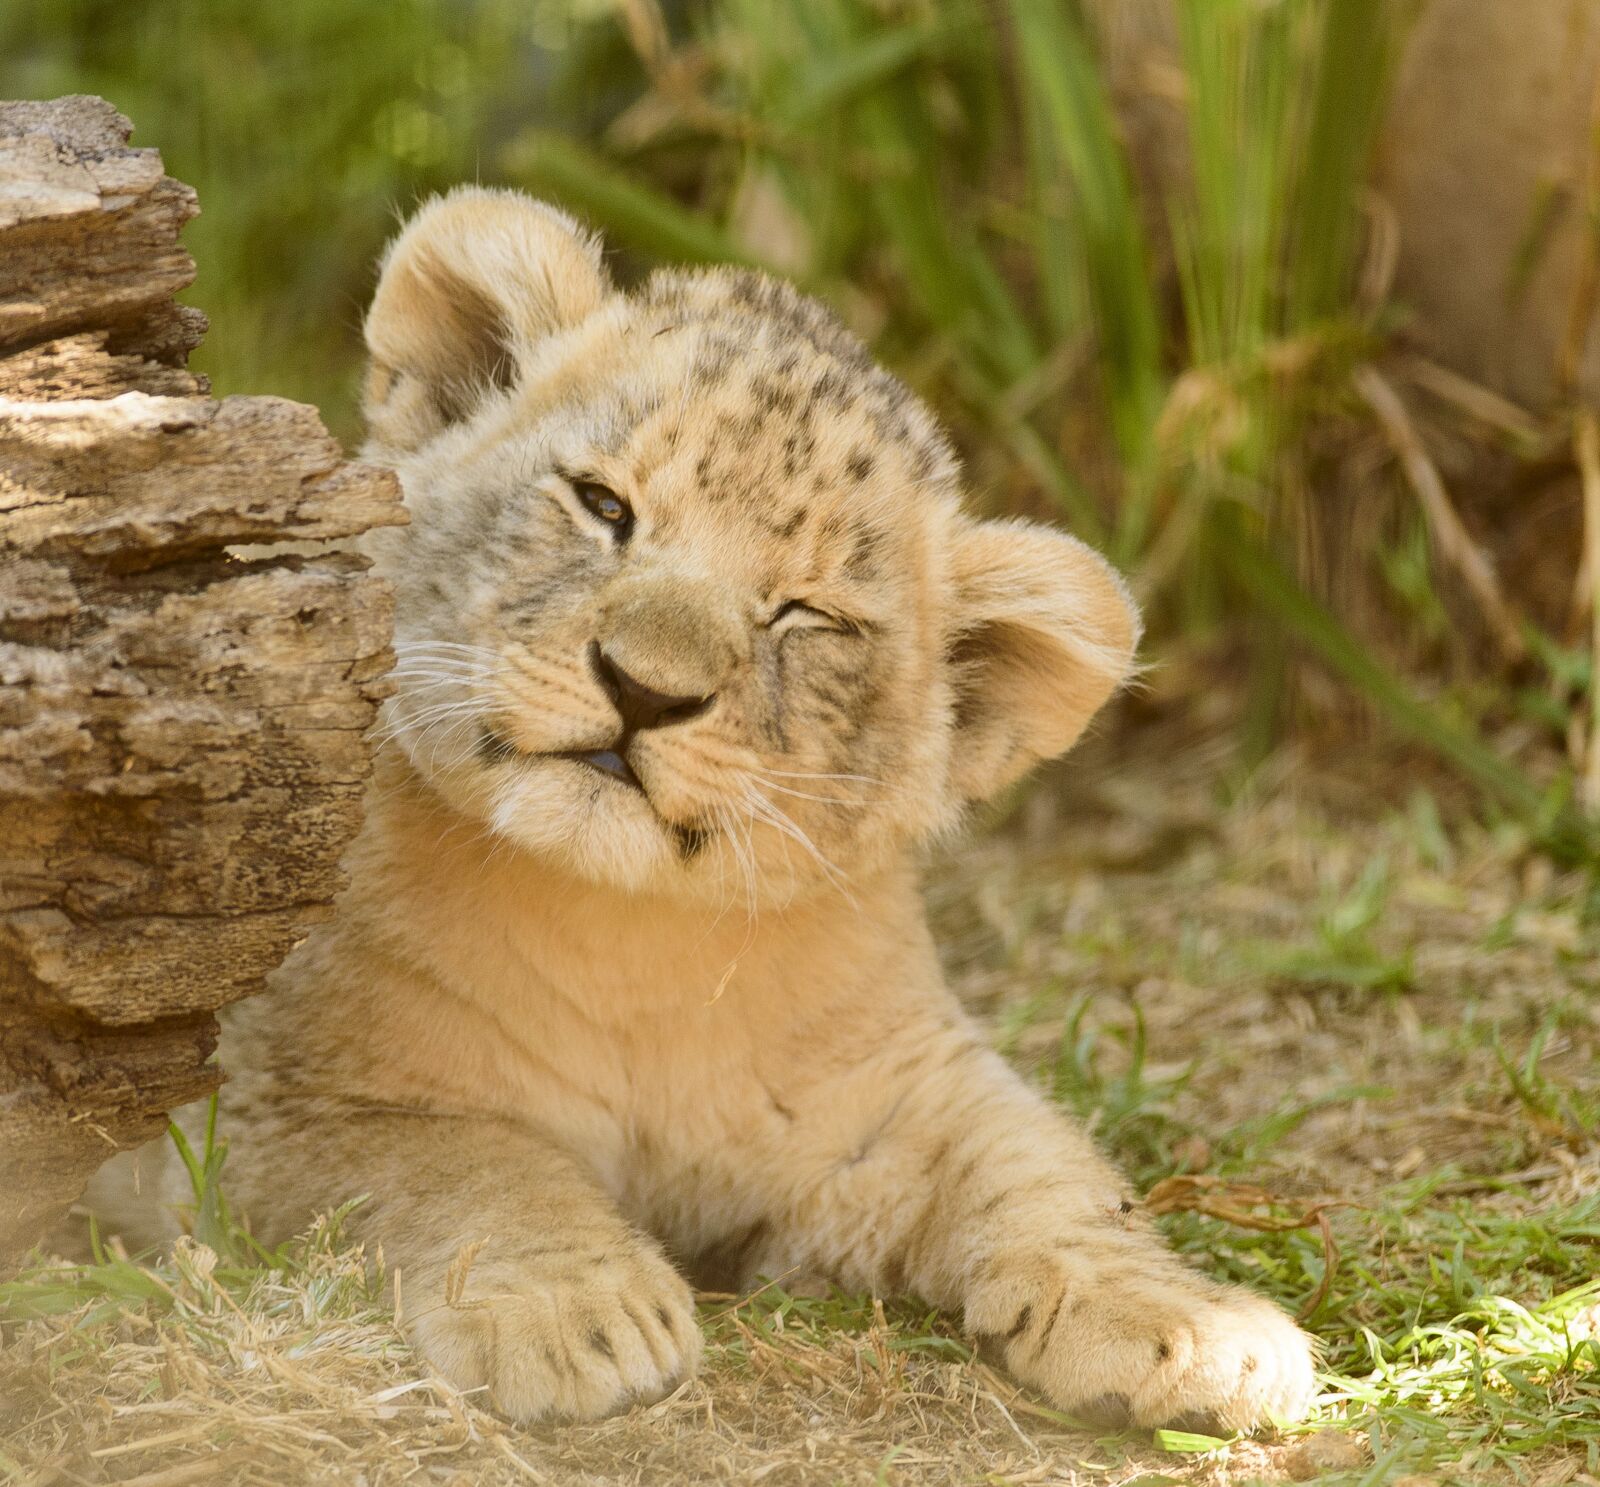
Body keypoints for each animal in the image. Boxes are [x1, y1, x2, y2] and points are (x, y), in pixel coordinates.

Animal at [91, 188, 1315, 1430]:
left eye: (807, 614)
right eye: (602, 504)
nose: (645, 688)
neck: (626, 942)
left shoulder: (890, 1101)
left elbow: (1050, 1166)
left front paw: (1197, 1325)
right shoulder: (261, 1101)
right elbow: (464, 1157)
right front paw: (574, 1312)